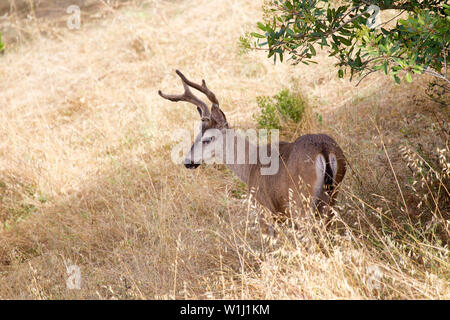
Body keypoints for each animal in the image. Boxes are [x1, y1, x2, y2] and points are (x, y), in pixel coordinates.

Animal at [159, 69, 348, 230]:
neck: (250, 164)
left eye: (207, 139)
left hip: (301, 201)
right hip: (332, 194)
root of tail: (323, 149)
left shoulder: (264, 208)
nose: (187, 162)